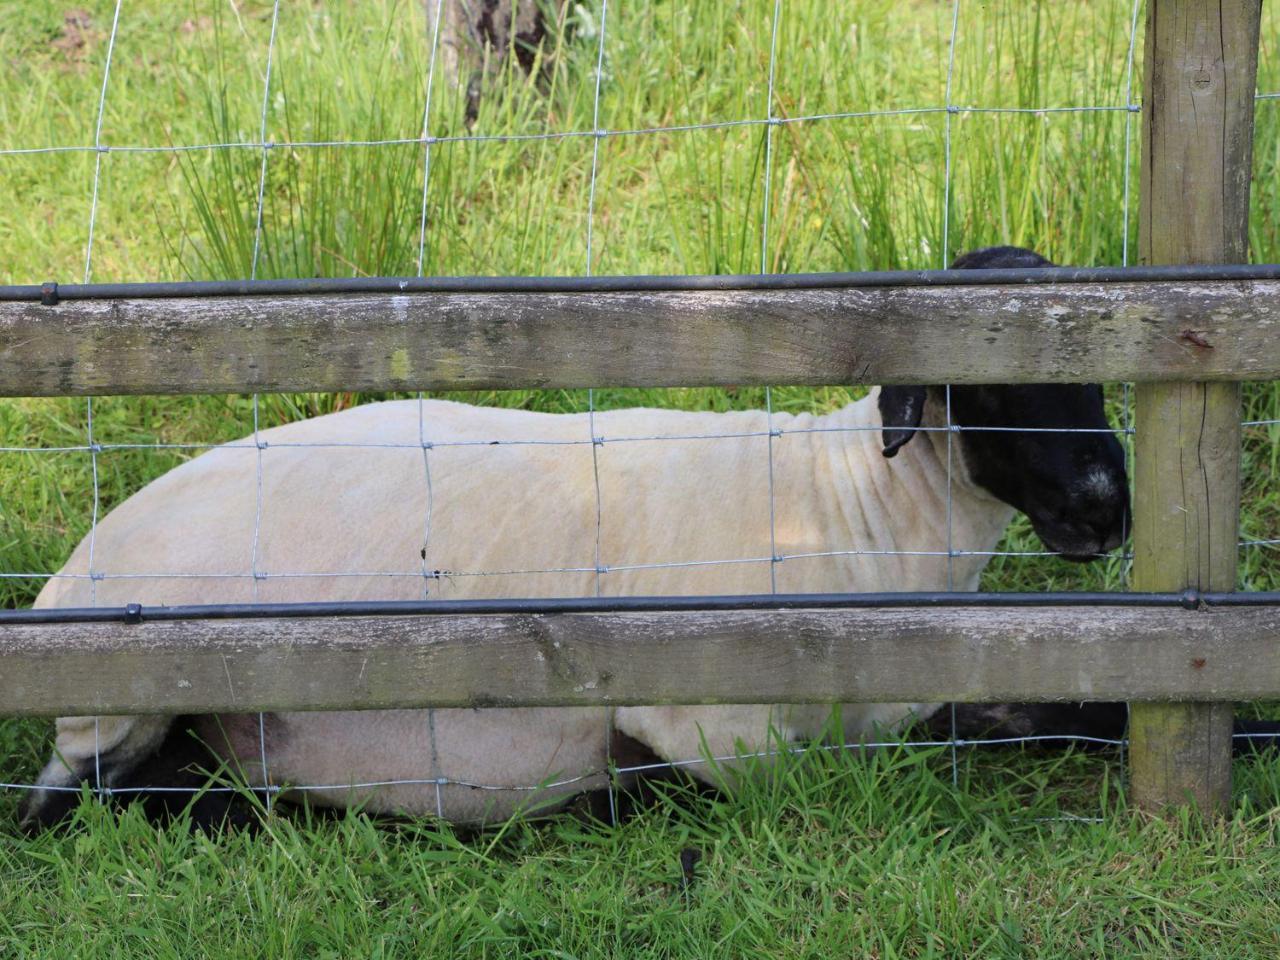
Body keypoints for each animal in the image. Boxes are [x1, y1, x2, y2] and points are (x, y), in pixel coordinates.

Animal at [12, 244, 1131, 829]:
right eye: (990, 381)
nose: (1104, 508)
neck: (859, 506)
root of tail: (61, 584)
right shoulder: (712, 726)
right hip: (128, 705)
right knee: (81, 803)